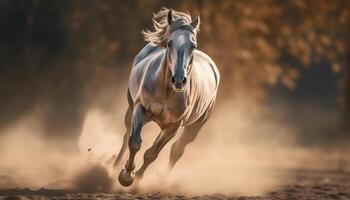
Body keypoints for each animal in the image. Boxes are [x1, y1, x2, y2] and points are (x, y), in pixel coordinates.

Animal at [113, 7, 220, 186]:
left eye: (193, 45)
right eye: (169, 43)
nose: (179, 80)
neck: (166, 91)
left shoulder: (173, 126)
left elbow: (152, 153)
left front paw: (137, 178)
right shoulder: (140, 108)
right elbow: (134, 142)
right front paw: (126, 176)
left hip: (195, 126)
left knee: (177, 150)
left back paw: (163, 182)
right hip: (131, 107)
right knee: (127, 134)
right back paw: (113, 166)